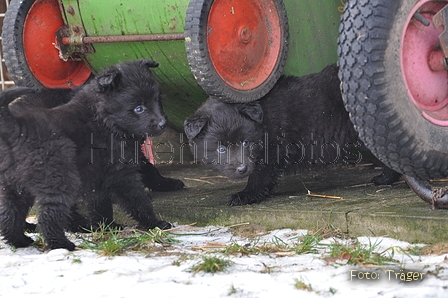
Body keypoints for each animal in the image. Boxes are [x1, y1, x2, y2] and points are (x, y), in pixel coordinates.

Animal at [0, 59, 174, 250]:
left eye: (157, 100)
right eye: (139, 108)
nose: (163, 123)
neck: (103, 120)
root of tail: (16, 126)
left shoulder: (96, 178)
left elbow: (100, 204)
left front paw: (108, 226)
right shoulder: (121, 174)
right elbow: (138, 199)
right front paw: (155, 224)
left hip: (15, 185)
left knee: (10, 213)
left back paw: (19, 240)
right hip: (60, 179)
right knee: (49, 215)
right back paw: (63, 243)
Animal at [184, 64, 400, 206]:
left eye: (246, 143)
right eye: (221, 148)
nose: (241, 168)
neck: (263, 121)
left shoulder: (271, 153)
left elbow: (259, 176)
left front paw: (246, 195)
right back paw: (386, 179)